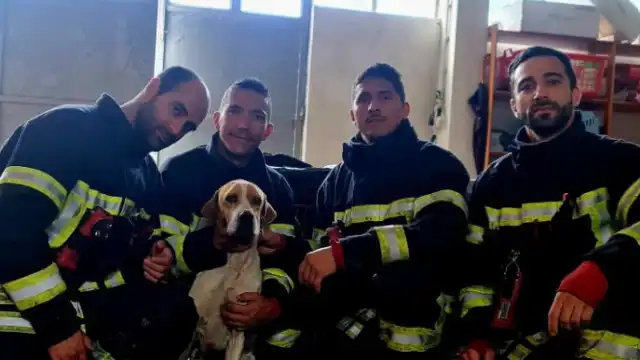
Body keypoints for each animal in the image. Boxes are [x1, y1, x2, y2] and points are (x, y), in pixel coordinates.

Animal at [185, 179, 276, 360]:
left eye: (257, 200)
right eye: (231, 198)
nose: (247, 216)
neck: (234, 262)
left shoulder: (238, 326)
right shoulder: (196, 323)